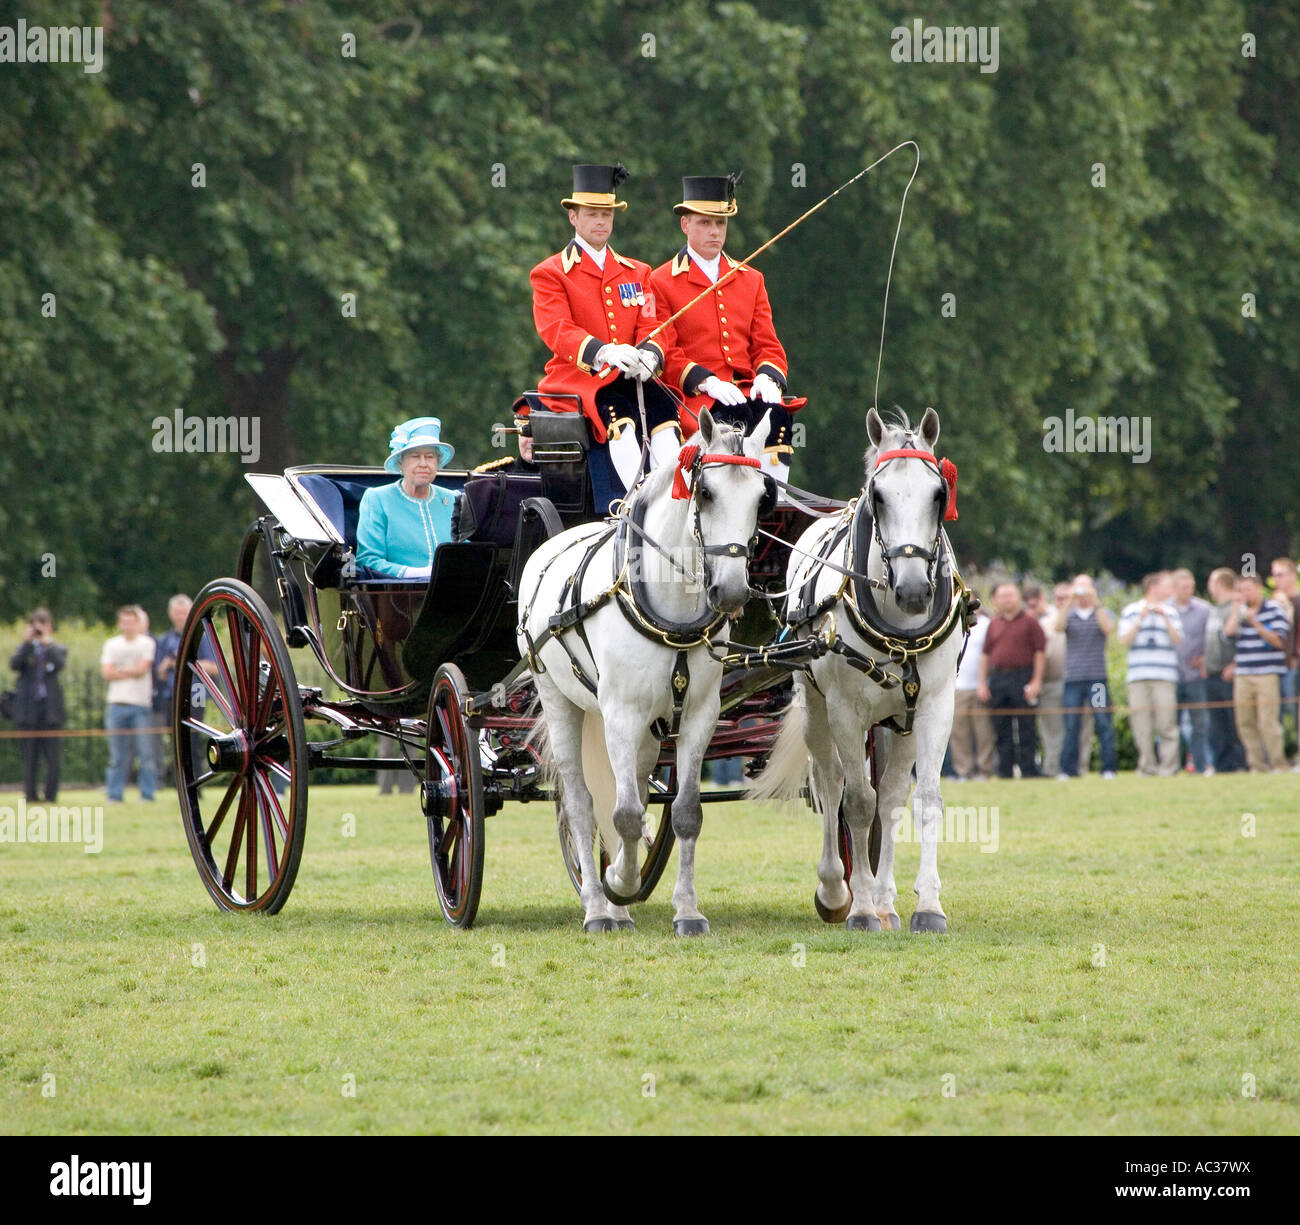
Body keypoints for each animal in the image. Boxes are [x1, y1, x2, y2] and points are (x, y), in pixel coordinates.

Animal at [517, 408, 769, 936]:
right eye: (706, 492)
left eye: (762, 496)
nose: (733, 592)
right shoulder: (620, 713)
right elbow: (626, 814)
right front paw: (620, 882)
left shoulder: (698, 716)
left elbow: (685, 812)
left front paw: (687, 911)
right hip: (562, 701)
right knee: (581, 802)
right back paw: (599, 905)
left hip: (647, 729)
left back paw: (616, 904)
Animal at [748, 408, 972, 936]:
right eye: (880, 495)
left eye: (939, 494)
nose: (914, 591)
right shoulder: (846, 712)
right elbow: (856, 803)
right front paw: (862, 908)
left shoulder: (934, 705)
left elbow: (919, 800)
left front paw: (925, 906)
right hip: (816, 708)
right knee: (831, 785)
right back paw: (837, 891)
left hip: (898, 720)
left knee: (888, 797)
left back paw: (886, 900)